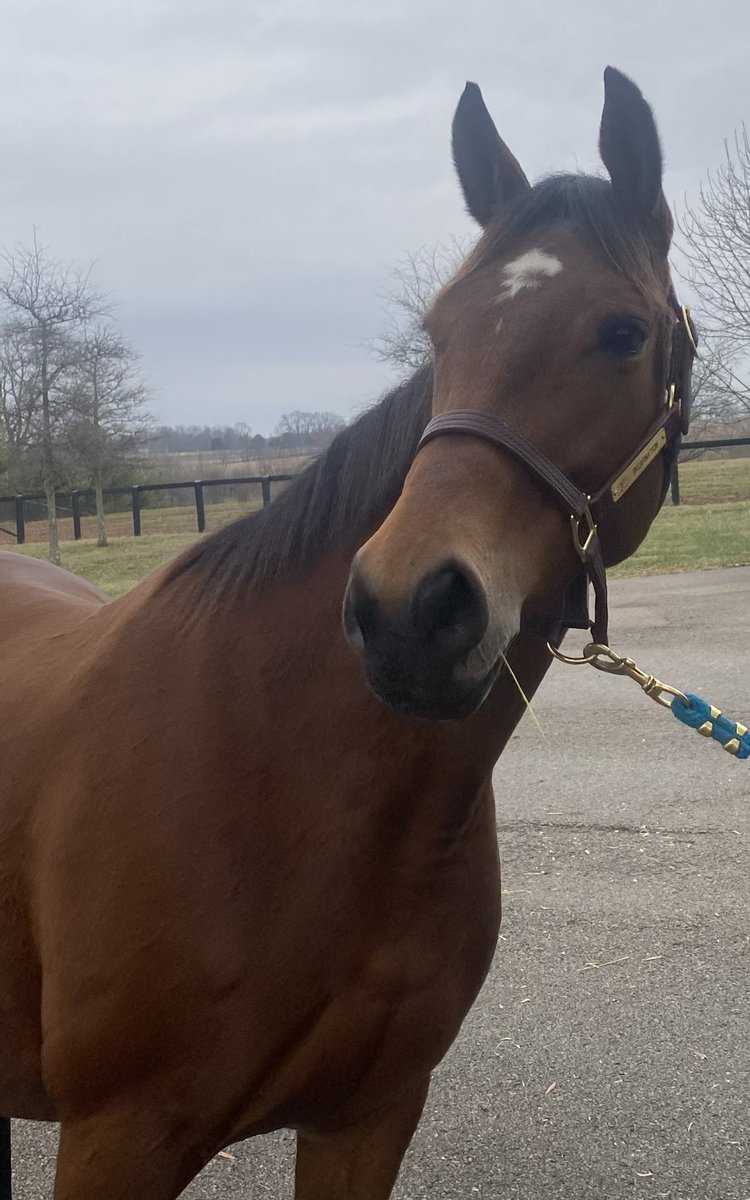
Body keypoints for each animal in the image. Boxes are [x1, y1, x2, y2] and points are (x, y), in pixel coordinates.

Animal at [0, 67, 693, 1199]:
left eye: (625, 331)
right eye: (438, 331)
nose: (408, 614)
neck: (284, 777)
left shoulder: (368, 1117)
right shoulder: (116, 1137)